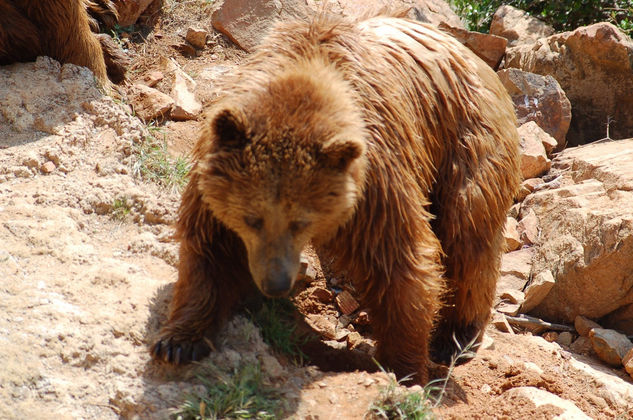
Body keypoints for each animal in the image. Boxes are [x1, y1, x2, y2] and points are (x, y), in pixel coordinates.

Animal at [152, 12, 520, 384]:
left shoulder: (375, 184)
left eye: (301, 222)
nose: (275, 283)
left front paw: (404, 369)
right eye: (251, 218)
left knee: (468, 234)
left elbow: (400, 262)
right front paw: (179, 341)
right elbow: (210, 249)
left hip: (465, 140)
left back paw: (455, 336)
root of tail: (473, 55)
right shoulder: (214, 175)